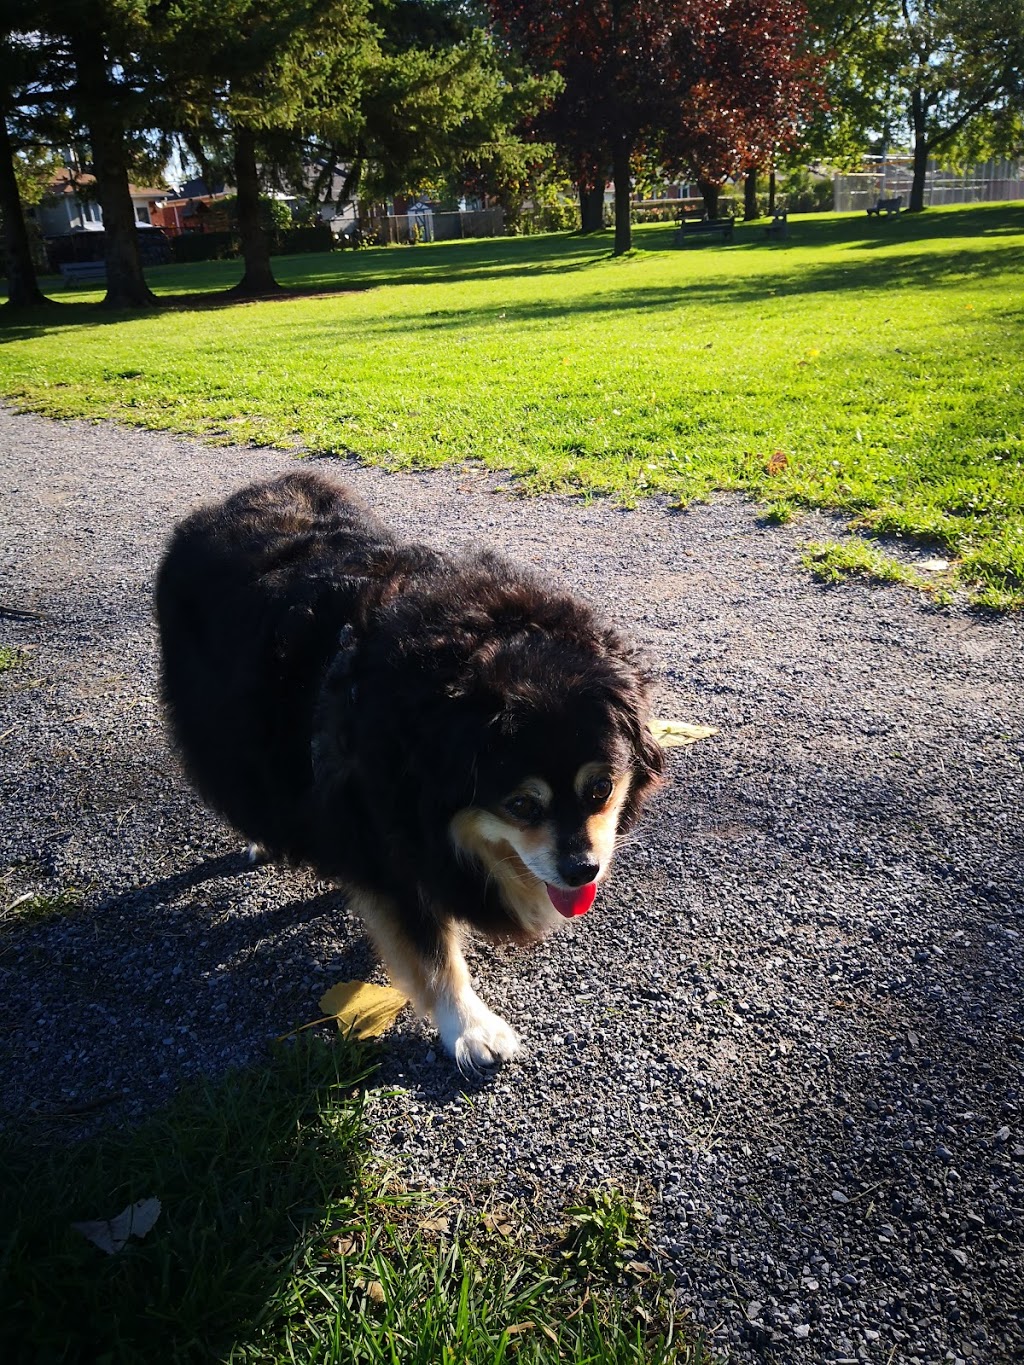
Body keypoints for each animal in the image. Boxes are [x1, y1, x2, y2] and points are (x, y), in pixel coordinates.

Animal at [154, 475, 666, 1070]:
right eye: (520, 805)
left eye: (601, 787)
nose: (583, 870)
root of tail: (223, 506)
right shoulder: (390, 836)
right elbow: (430, 951)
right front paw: (469, 1027)